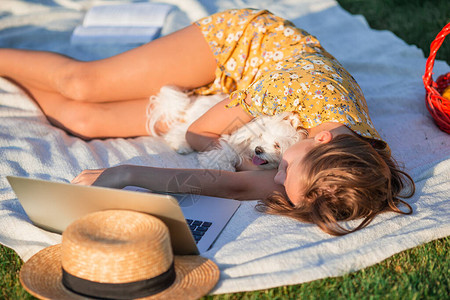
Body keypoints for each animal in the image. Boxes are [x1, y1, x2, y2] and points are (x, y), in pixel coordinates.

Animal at [147, 86, 306, 171]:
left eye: (277, 145)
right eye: (261, 135)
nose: (258, 149)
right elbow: (228, 151)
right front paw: (219, 165)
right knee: (181, 128)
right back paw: (179, 143)